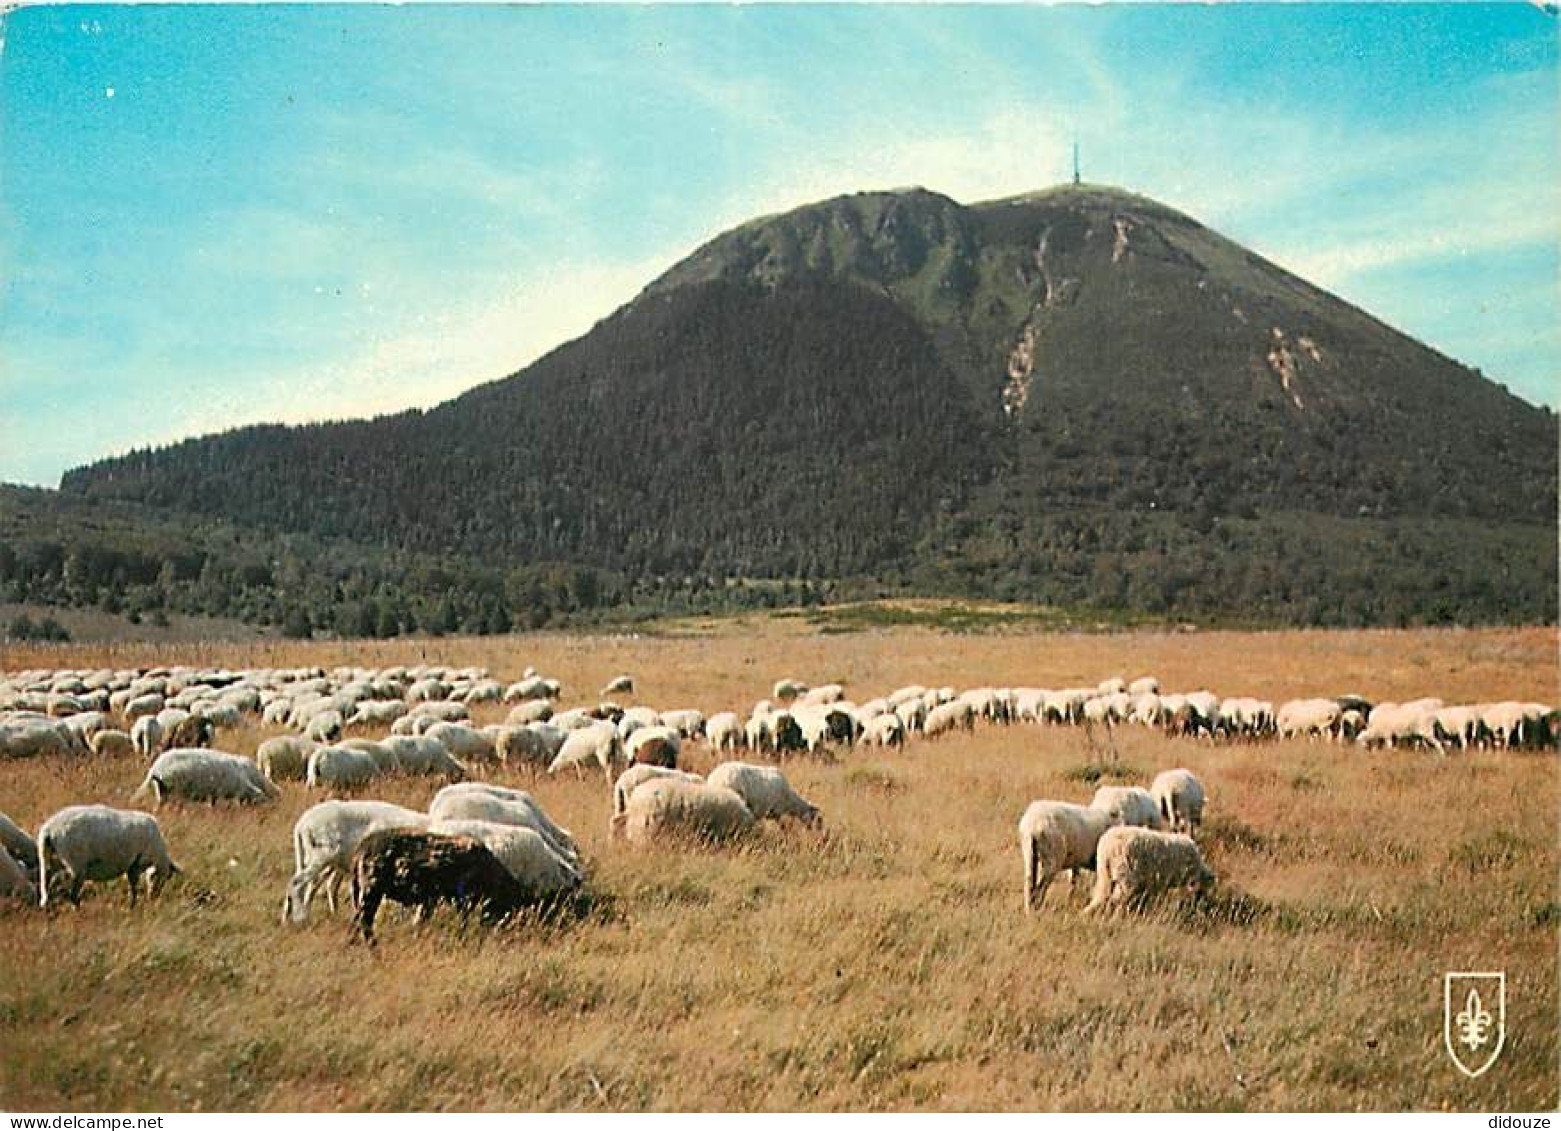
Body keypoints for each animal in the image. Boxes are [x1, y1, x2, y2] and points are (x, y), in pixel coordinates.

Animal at [37, 804, 178, 911]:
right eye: (165, 879)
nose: (153, 897)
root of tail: (49, 830)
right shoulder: (135, 864)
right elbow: (133, 887)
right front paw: (132, 906)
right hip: (77, 865)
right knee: (72, 895)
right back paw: (78, 911)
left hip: (48, 860)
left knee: (46, 886)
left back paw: (46, 907)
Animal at [1086, 823, 1217, 911]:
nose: (1202, 901)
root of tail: (1107, 848)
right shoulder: (1161, 880)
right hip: (1125, 874)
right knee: (1117, 899)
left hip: (1105, 874)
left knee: (1101, 896)